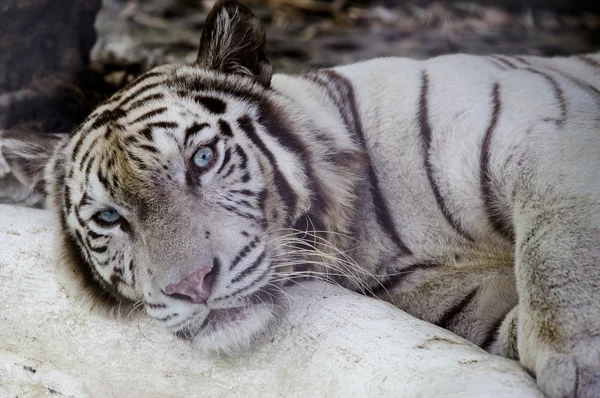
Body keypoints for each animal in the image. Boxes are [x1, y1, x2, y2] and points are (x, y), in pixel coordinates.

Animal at [1, 1, 600, 396]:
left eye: (202, 159)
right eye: (109, 217)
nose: (191, 286)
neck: (371, 228)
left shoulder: (542, 131)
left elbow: (559, 247)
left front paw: (580, 365)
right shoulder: (462, 307)